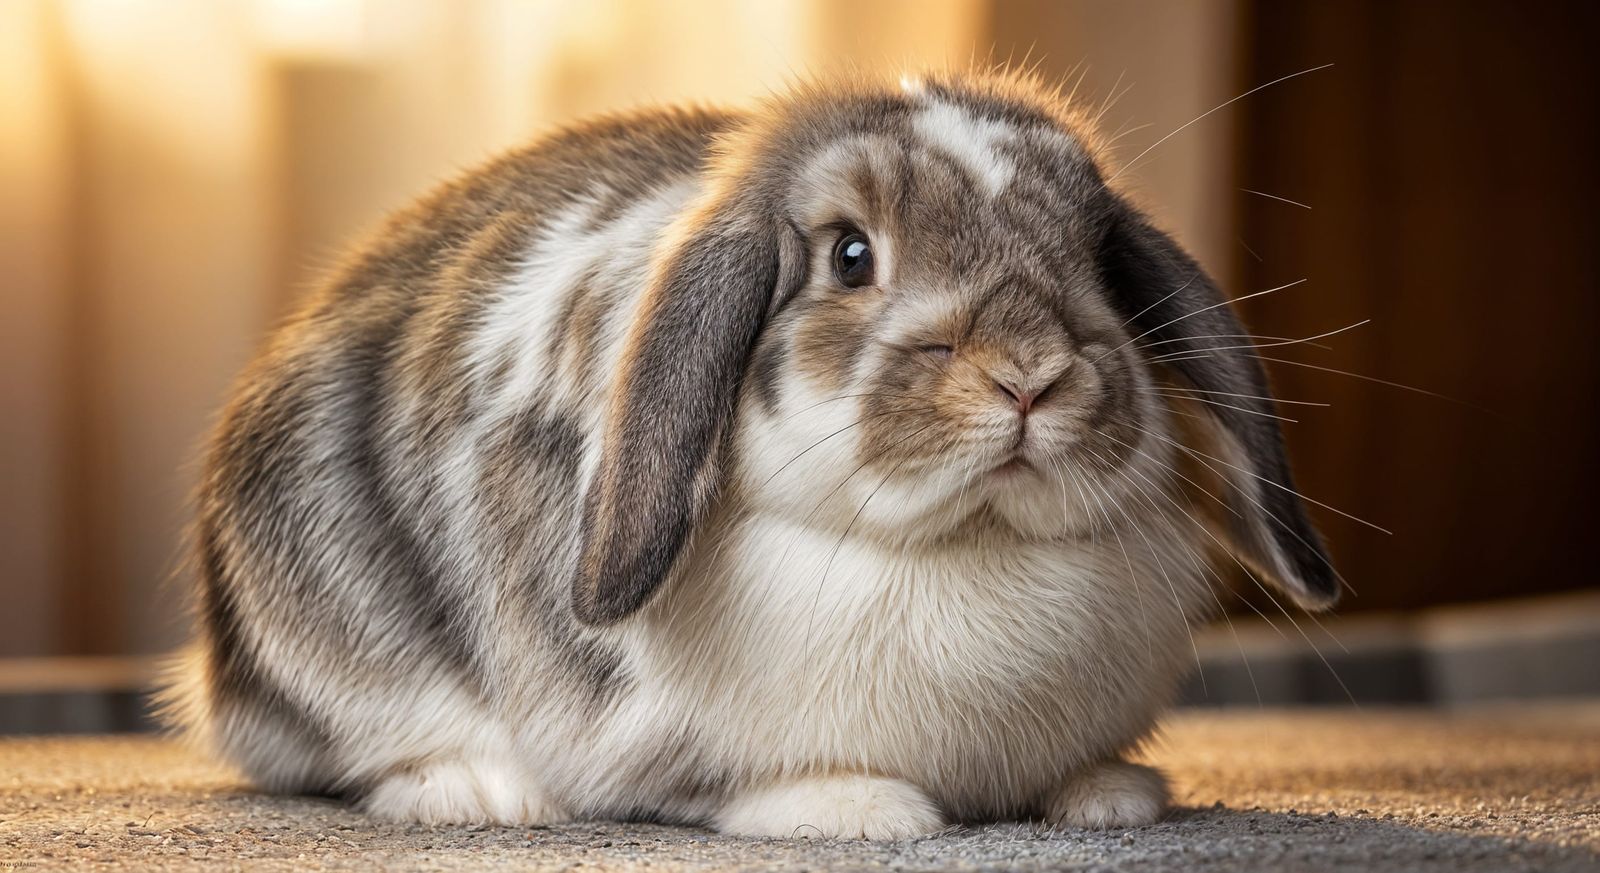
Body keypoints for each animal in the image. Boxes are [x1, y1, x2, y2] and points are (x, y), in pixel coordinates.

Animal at [159, 69, 1338, 839]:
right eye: (850, 255)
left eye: (1096, 254)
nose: (1029, 375)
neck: (960, 547)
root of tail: (218, 673)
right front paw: (862, 812)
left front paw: (1110, 796)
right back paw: (474, 792)